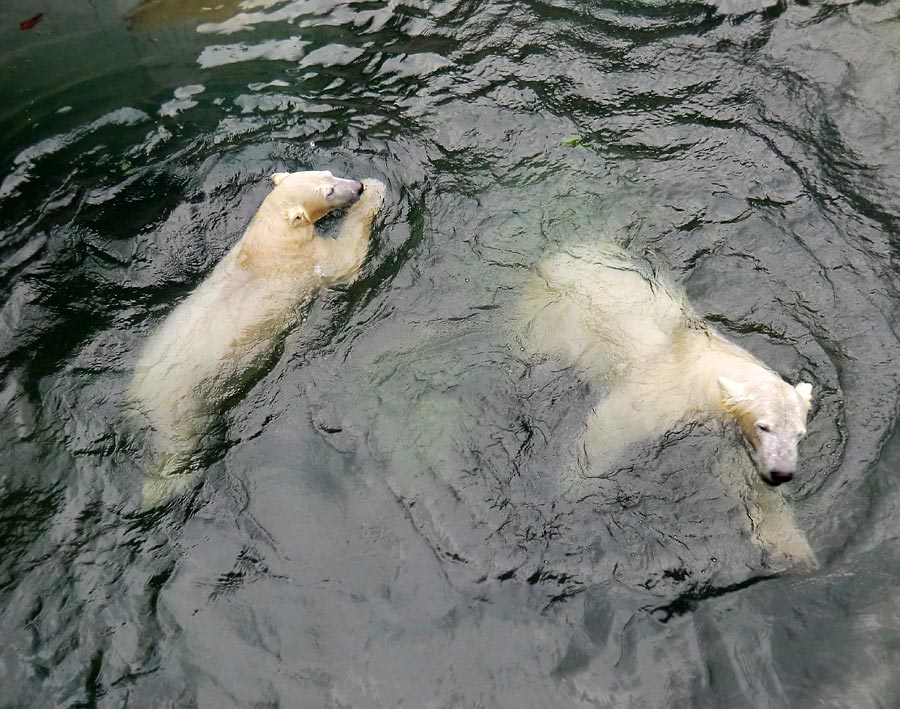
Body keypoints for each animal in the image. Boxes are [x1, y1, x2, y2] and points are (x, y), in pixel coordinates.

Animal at [131, 170, 386, 498]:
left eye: (329, 173)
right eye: (328, 191)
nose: (357, 187)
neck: (271, 239)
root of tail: (139, 400)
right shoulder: (310, 263)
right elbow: (347, 258)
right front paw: (375, 192)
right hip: (183, 407)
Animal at [516, 241, 820, 568]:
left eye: (799, 434)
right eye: (764, 426)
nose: (781, 473)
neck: (704, 366)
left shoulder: (725, 430)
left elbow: (745, 482)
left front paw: (793, 549)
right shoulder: (661, 396)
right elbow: (607, 429)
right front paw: (571, 483)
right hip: (547, 321)